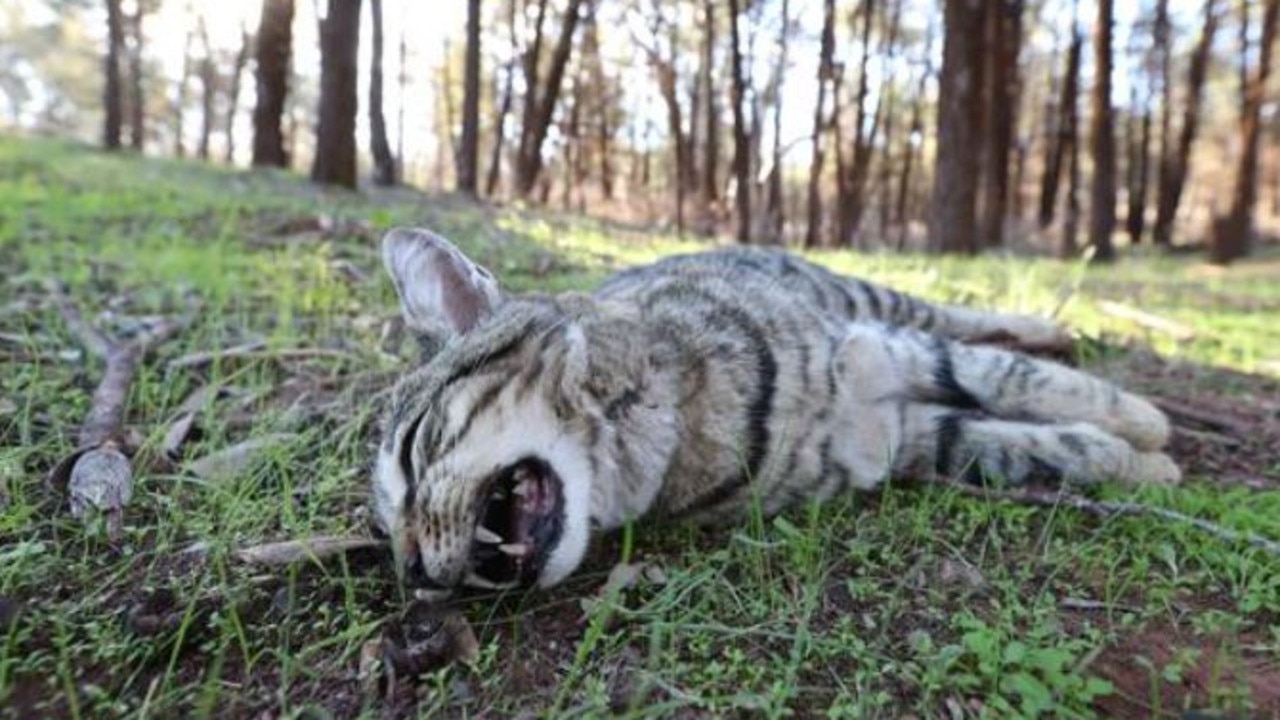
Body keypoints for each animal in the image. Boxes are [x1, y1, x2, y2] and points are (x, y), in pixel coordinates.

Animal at [373, 226, 1177, 591]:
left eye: (412, 451)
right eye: (385, 530)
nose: (413, 575)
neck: (657, 426)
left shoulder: (878, 349)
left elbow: (1015, 377)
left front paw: (1146, 426)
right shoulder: (904, 437)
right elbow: (1031, 445)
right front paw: (1143, 464)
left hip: (871, 300)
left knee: (960, 316)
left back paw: (1053, 328)